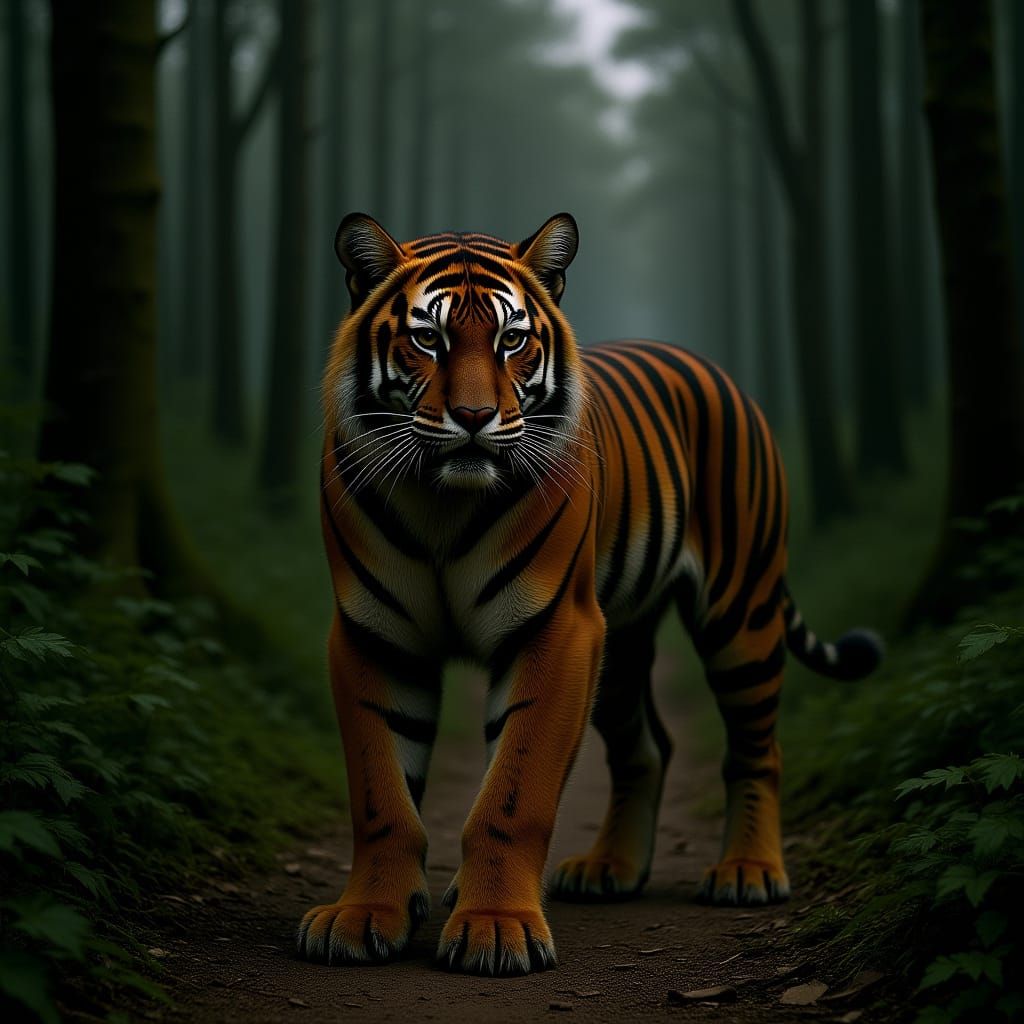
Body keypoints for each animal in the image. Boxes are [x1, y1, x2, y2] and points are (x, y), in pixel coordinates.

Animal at [298, 211, 882, 977]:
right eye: (429, 339)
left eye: (511, 340)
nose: (475, 417)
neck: (441, 503)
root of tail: (709, 366)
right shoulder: (373, 636)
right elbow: (382, 796)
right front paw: (365, 914)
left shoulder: (556, 629)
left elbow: (511, 797)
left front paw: (495, 927)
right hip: (622, 644)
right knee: (646, 747)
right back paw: (610, 869)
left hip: (740, 613)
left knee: (757, 748)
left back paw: (748, 873)